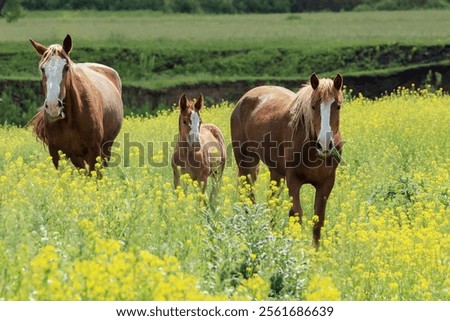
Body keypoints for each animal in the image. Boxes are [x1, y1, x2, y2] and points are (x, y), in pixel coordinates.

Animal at [27, 34, 123, 170]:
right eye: (42, 69)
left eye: (66, 67)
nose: (53, 107)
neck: (71, 119)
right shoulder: (56, 153)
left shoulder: (94, 151)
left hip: (105, 148)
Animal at [230, 73, 342, 248]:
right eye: (313, 106)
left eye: (337, 106)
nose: (324, 144)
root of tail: (243, 99)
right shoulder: (293, 179)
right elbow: (296, 215)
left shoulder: (326, 182)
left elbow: (318, 220)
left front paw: (315, 252)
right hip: (246, 163)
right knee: (248, 195)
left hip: (275, 172)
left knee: (271, 202)